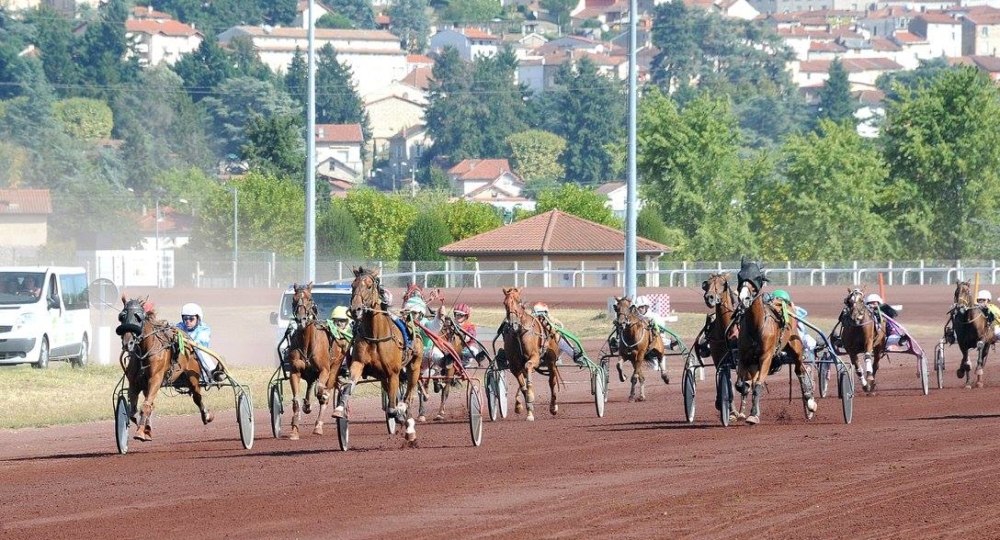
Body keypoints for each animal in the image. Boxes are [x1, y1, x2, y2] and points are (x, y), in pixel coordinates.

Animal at [119, 296, 217, 442]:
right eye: (122, 316)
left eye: (138, 317)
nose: (128, 343)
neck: (146, 350)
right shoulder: (134, 383)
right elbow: (133, 411)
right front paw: (145, 428)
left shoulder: (156, 378)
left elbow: (145, 406)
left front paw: (141, 432)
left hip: (192, 377)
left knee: (197, 397)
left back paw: (206, 415)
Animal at [284, 282, 346, 438]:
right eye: (294, 299)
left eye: (310, 298)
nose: (301, 319)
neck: (307, 343)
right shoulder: (295, 371)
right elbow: (296, 400)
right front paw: (295, 429)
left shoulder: (324, 370)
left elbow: (320, 392)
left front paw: (323, 396)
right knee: (310, 384)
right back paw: (307, 405)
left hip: (335, 367)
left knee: (324, 389)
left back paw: (318, 425)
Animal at [332, 268, 418, 440]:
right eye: (352, 285)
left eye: (369, 286)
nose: (355, 309)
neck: (376, 335)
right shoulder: (358, 363)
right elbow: (348, 385)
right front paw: (340, 409)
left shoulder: (393, 372)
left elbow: (392, 407)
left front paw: (399, 413)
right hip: (383, 375)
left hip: (414, 366)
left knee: (409, 394)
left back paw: (407, 421)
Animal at [500, 286, 564, 422]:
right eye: (505, 303)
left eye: (519, 302)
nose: (513, 324)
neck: (518, 333)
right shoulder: (514, 365)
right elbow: (523, 386)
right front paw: (528, 408)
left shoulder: (534, 357)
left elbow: (529, 369)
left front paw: (530, 398)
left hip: (551, 360)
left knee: (552, 381)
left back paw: (553, 407)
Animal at [732, 262, 816, 426]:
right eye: (740, 275)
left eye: (757, 277)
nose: (744, 298)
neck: (756, 325)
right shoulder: (744, 357)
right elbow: (741, 384)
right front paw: (745, 410)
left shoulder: (766, 356)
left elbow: (758, 385)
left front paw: (753, 415)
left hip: (795, 346)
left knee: (800, 371)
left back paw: (809, 402)